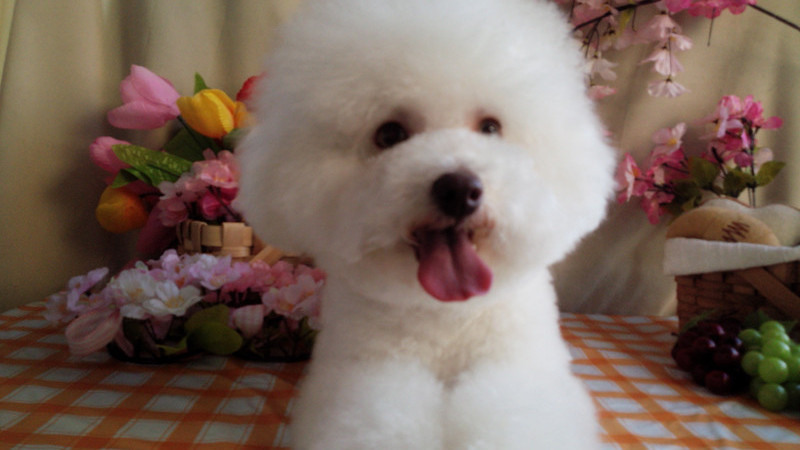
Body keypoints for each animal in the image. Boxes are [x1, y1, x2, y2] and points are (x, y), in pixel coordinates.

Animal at [237, 0, 615, 448]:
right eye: (390, 134)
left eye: (491, 127)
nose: (459, 189)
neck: (444, 314)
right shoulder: (368, 374)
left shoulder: (517, 366)